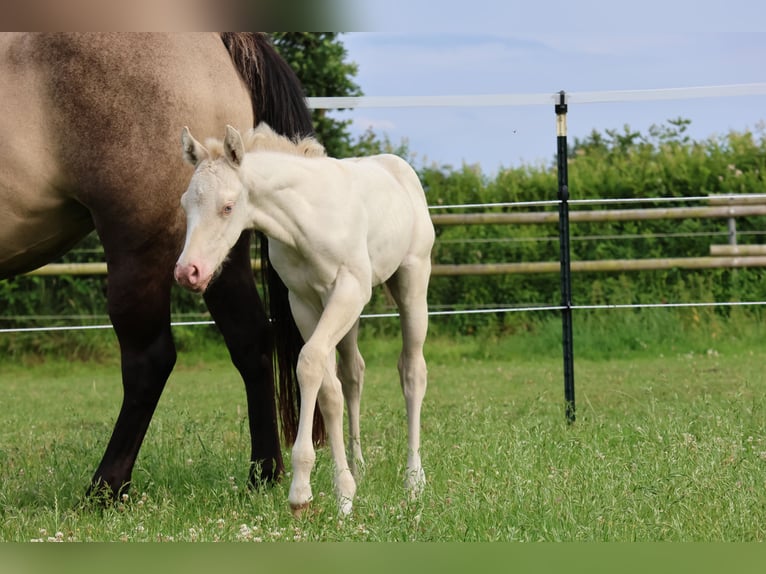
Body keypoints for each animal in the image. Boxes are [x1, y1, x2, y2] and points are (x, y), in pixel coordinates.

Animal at [0, 33, 313, 500]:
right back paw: (262, 474)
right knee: (251, 341)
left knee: (149, 360)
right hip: (217, 252)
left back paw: (105, 488)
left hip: (138, 251)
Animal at [174, 123, 435, 516]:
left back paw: (414, 480)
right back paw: (360, 466)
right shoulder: (305, 302)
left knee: (412, 371)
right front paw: (344, 490)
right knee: (353, 374)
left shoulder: (350, 289)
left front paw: (301, 493)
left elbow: (309, 363)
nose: (188, 272)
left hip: (411, 281)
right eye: (185, 203)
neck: (306, 220)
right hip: (345, 315)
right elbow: (329, 390)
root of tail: (400, 169)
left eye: (228, 206)